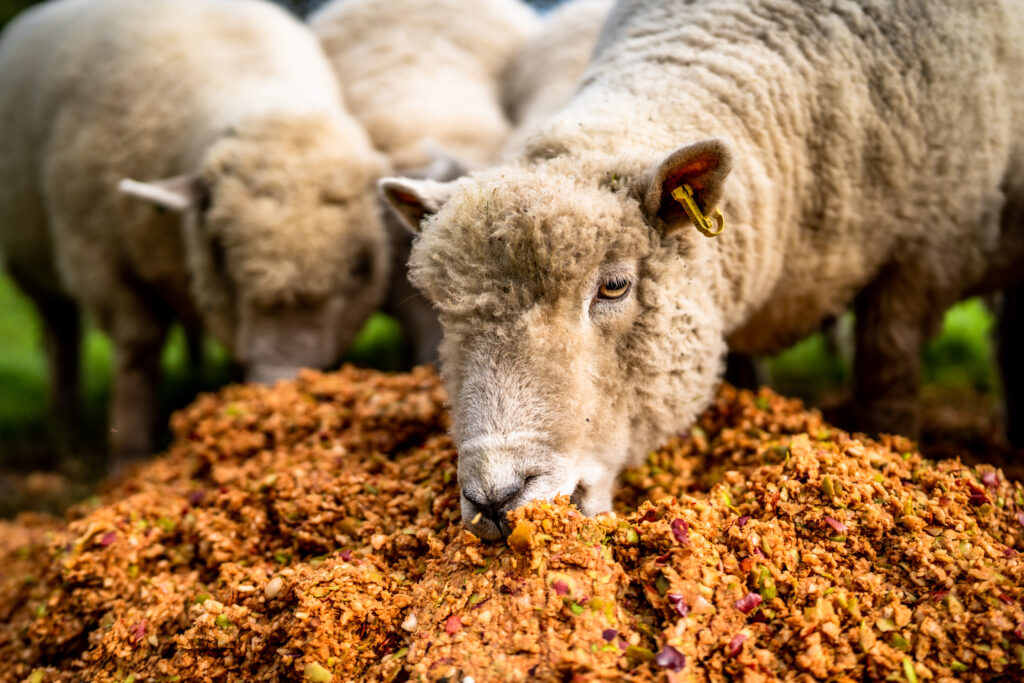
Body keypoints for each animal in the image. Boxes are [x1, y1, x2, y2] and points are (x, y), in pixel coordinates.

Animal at [0, 0, 391, 466]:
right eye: (220, 252)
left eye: (360, 268)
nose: (280, 380)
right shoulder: (99, 260)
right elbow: (137, 350)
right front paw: (128, 457)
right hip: (32, 266)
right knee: (61, 329)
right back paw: (65, 424)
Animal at [381, 0, 1024, 539]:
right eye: (442, 313)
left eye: (614, 286)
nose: (495, 498)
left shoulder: (921, 260)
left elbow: (887, 381)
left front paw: (890, 452)